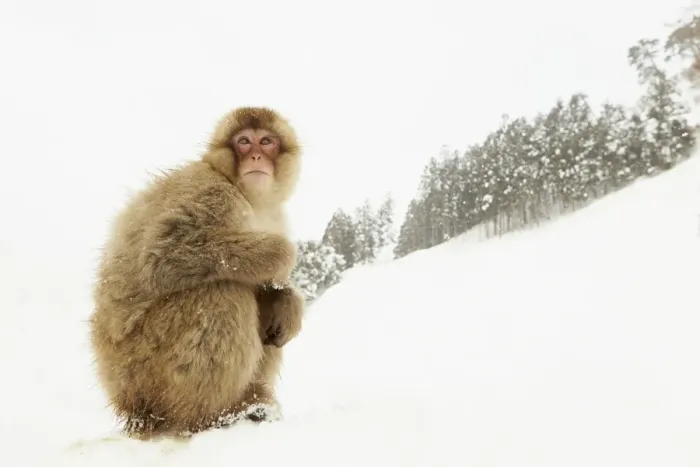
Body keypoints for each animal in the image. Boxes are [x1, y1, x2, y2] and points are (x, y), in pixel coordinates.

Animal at [88, 106, 306, 439]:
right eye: (244, 141)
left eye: (266, 141)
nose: (256, 156)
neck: (245, 193)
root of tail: (129, 406)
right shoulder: (211, 193)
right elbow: (161, 258)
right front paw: (283, 254)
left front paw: (290, 300)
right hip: (140, 366)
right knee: (221, 292)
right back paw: (211, 417)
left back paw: (255, 401)